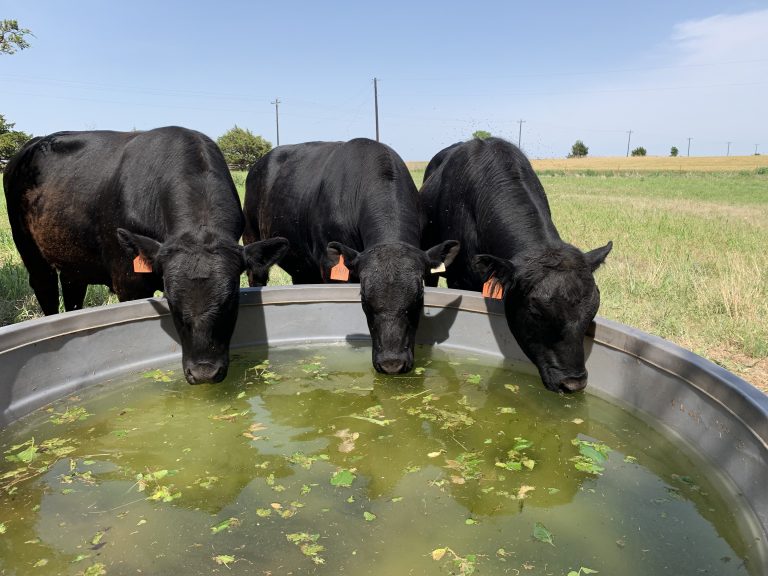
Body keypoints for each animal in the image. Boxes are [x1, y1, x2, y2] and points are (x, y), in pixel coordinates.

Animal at [4, 126, 289, 385]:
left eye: (230, 299)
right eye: (172, 301)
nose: (203, 373)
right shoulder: (129, 283)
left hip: (73, 262)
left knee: (73, 292)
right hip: (31, 253)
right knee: (46, 290)